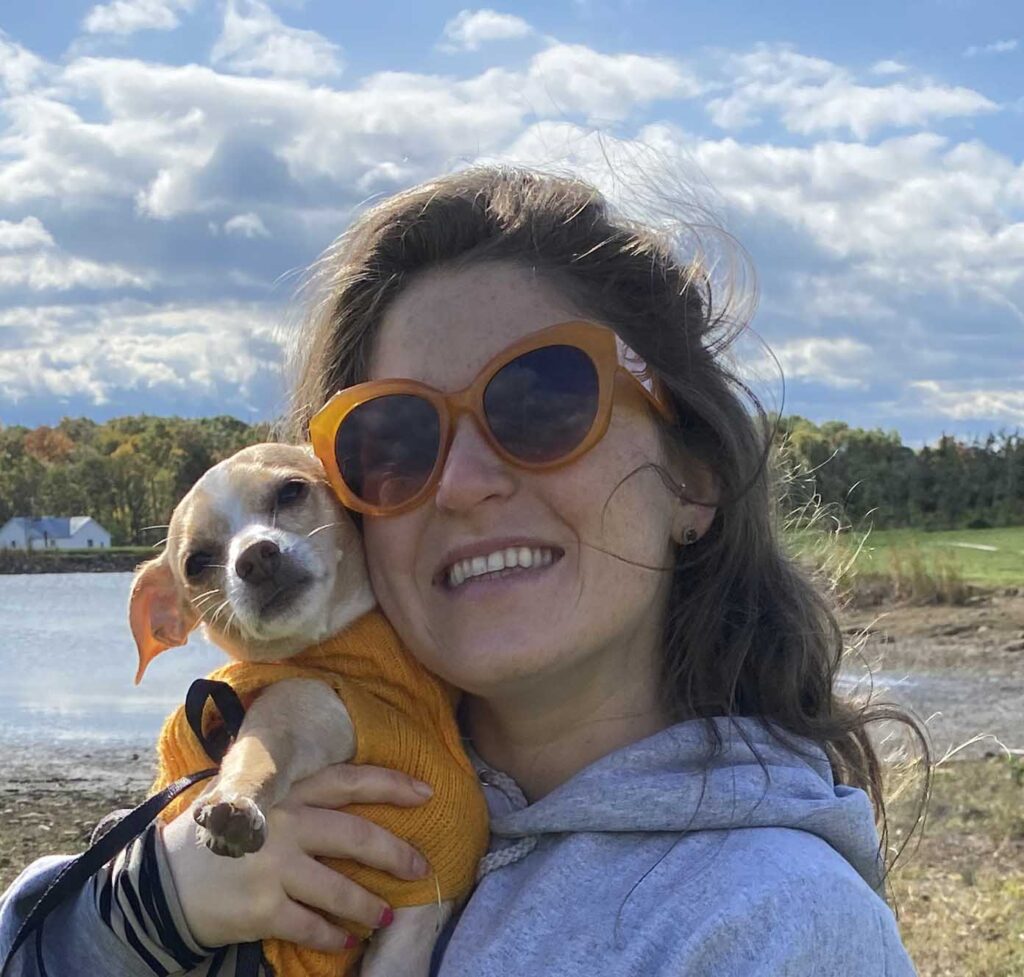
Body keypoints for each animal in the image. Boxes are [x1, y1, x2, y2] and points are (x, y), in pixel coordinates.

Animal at [128, 442, 488, 977]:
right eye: (196, 563)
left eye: (291, 491)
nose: (254, 557)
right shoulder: (296, 708)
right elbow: (257, 755)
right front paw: (236, 800)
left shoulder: (412, 919)